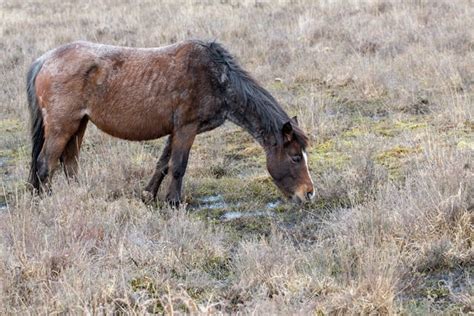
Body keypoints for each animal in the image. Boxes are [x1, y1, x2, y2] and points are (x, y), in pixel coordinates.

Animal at [25, 39, 314, 205]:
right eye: (295, 157)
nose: (309, 193)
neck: (217, 78)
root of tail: (44, 60)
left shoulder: (175, 131)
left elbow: (163, 164)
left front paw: (148, 196)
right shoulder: (187, 128)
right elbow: (178, 166)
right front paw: (174, 203)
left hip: (79, 125)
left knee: (69, 164)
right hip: (62, 127)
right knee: (45, 164)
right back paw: (46, 201)